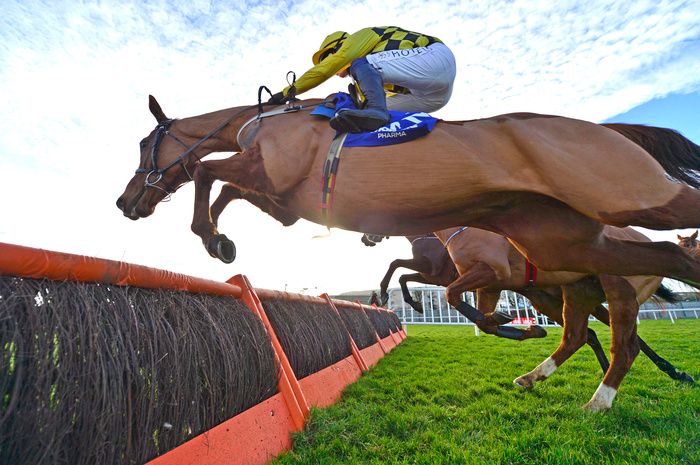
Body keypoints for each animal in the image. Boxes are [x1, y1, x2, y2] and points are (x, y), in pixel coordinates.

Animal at [117, 95, 700, 288]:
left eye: (145, 142)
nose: (124, 202)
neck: (265, 119)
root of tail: (608, 129)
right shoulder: (283, 200)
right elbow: (222, 186)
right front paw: (221, 239)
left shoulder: (270, 174)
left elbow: (204, 172)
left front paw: (209, 234)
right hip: (565, 243)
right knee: (673, 258)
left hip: (633, 196)